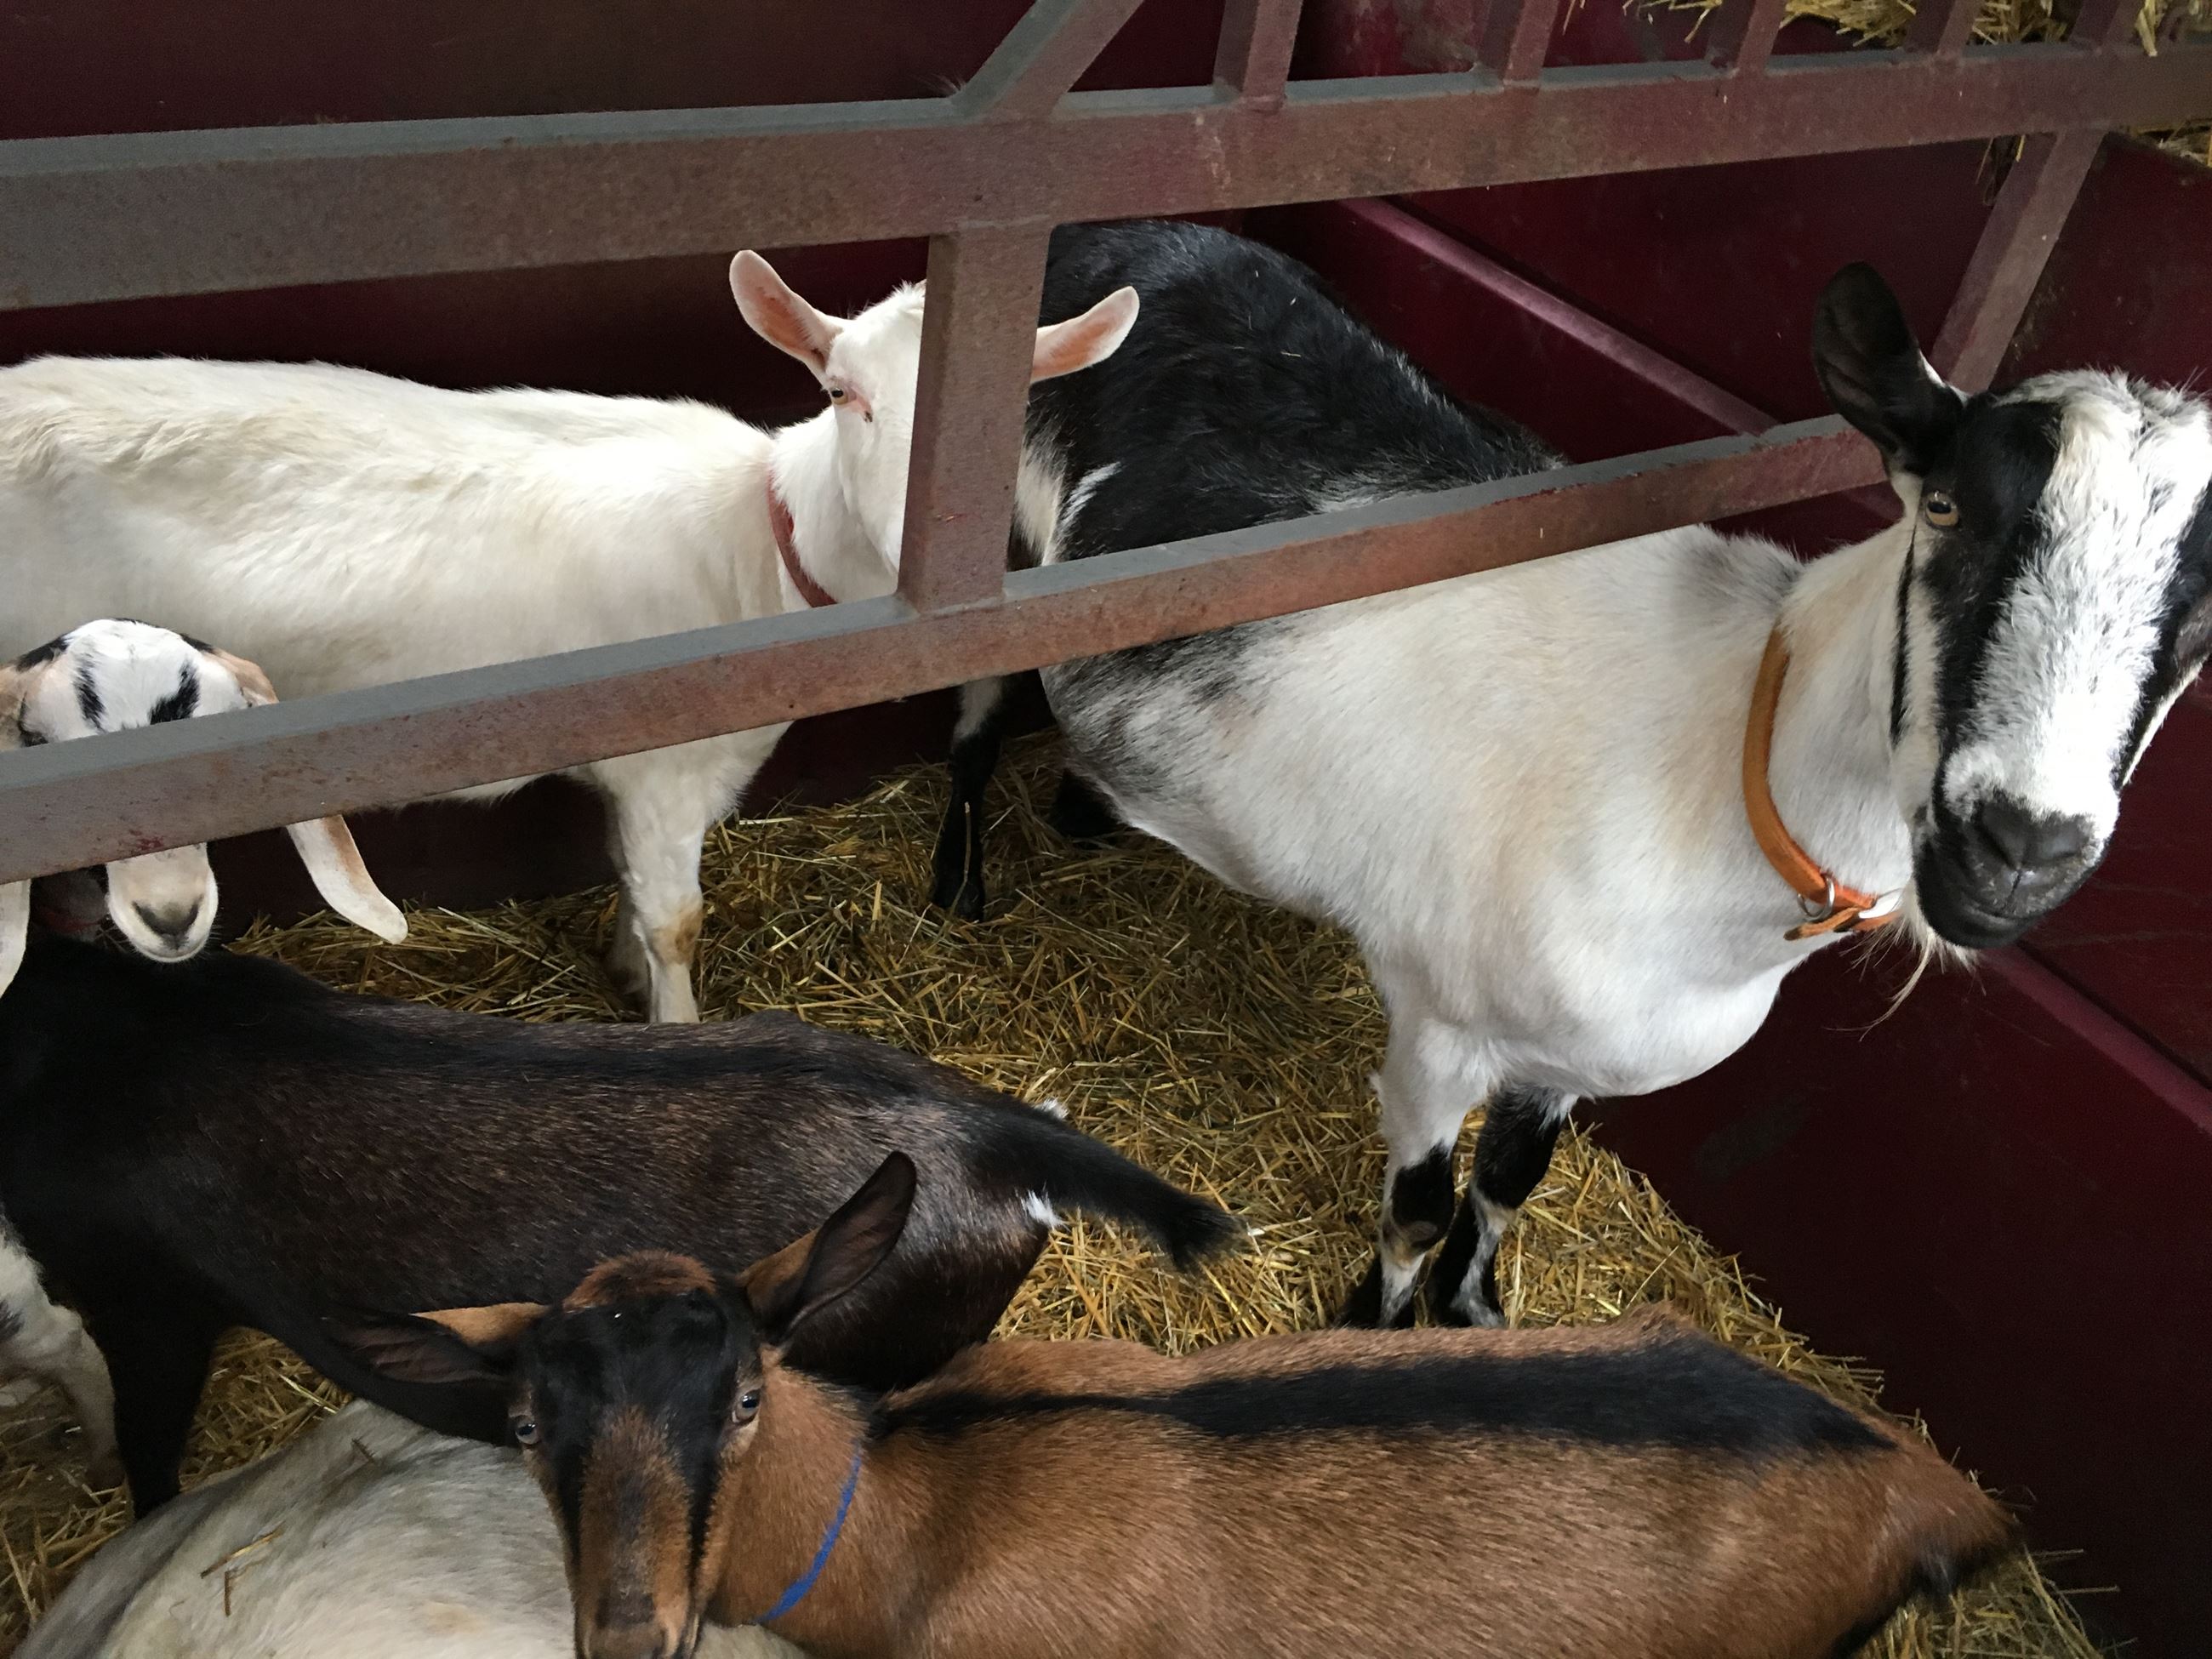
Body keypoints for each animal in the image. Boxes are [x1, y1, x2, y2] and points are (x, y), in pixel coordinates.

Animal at [0, 263, 1136, 1022]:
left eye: (1022, 398)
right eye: (840, 392)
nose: (936, 539)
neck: (756, 544)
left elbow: (628, 885)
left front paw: (625, 974)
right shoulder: (666, 767)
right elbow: (676, 919)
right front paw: (676, 1023)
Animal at [940, 219, 2212, 1328]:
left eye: (2203, 623)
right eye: (1943, 506)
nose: (2019, 849)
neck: (1717, 760)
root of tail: (1118, 234)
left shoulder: (1564, 1056)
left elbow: (1510, 1180)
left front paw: (1474, 1307)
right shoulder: (1439, 1024)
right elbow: (1418, 1206)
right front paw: (1372, 1325)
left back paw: (1086, 813)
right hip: (994, 556)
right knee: (974, 714)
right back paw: (957, 889)